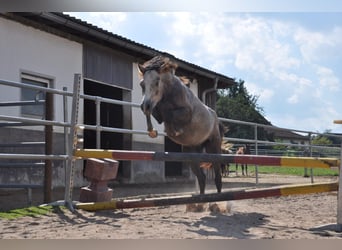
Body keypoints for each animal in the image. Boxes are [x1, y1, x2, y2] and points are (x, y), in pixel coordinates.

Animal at [138, 55, 226, 194]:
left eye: (157, 82)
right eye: (142, 84)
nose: (144, 105)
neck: (168, 92)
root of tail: (216, 119)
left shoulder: (187, 112)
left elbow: (169, 114)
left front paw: (174, 131)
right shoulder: (157, 111)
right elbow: (158, 113)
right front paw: (152, 131)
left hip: (214, 148)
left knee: (217, 177)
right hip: (191, 154)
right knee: (201, 177)